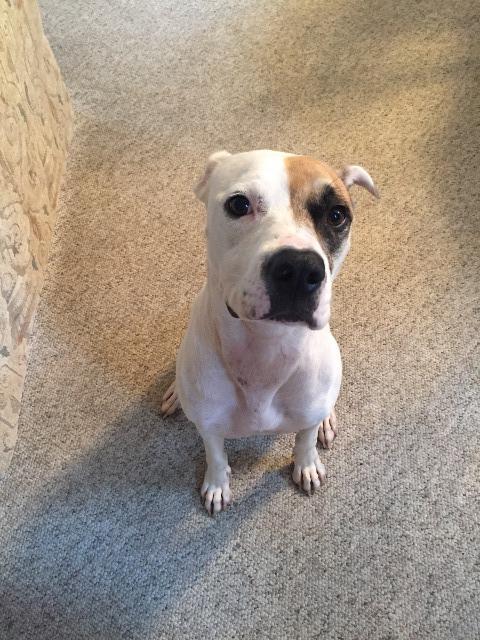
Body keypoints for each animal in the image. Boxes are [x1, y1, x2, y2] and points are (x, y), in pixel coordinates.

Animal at [161, 150, 378, 514]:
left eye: (336, 215)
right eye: (238, 204)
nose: (300, 269)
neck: (266, 347)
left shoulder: (306, 412)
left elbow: (305, 439)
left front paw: (307, 465)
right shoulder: (209, 425)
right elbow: (215, 455)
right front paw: (217, 484)